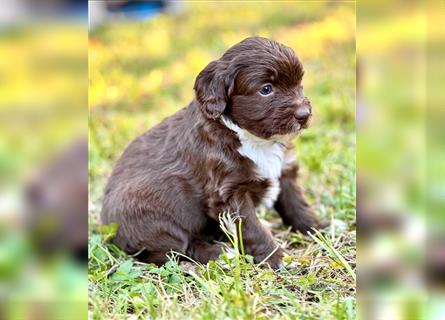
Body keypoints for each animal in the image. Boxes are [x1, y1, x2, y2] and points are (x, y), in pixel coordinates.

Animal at [101, 36, 320, 268]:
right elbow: (253, 228)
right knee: (178, 249)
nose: (304, 114)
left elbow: (297, 204)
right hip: (151, 218)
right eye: (266, 89)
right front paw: (276, 257)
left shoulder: (284, 171)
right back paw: (221, 254)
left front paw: (317, 229)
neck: (251, 138)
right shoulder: (229, 192)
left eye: (299, 84)